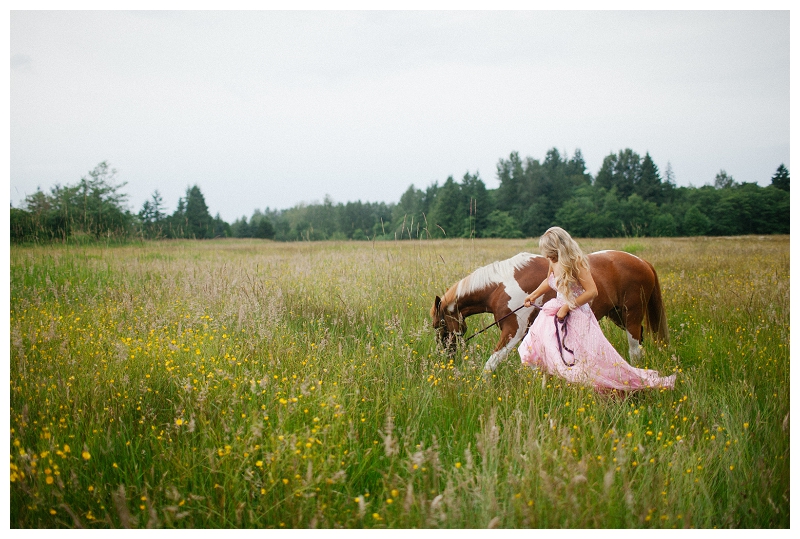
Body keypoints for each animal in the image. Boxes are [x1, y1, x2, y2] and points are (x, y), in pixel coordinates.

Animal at [432, 252, 668, 374]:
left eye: (439, 325)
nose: (446, 356)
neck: (502, 285)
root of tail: (642, 261)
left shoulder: (512, 332)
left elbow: (490, 364)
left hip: (631, 315)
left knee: (635, 348)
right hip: (617, 315)